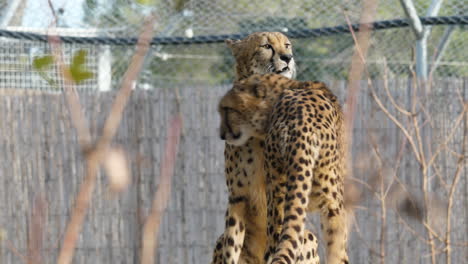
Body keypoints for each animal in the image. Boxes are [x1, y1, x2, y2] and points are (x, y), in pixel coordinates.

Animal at [211, 32, 318, 264]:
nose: (288, 57)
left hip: (309, 236)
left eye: (287, 45)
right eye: (266, 46)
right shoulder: (238, 195)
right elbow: (231, 244)